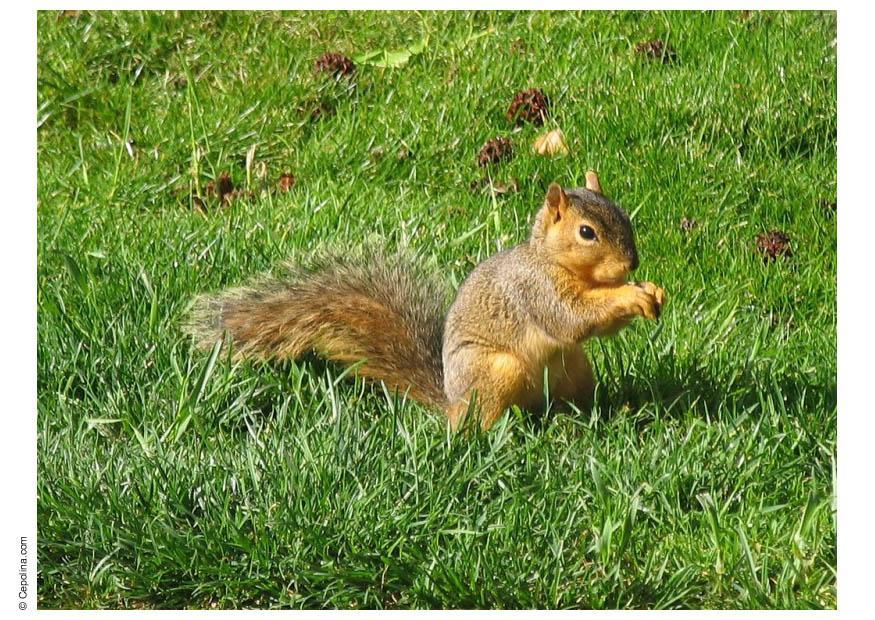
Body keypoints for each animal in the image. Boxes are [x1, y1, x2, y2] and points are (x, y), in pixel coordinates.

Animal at [185, 171, 666, 430]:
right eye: (587, 233)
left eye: (623, 214)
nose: (632, 262)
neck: (553, 260)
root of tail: (452, 405)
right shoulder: (533, 291)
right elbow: (571, 318)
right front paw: (629, 295)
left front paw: (651, 292)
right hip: (497, 372)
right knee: (481, 423)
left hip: (575, 370)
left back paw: (598, 415)